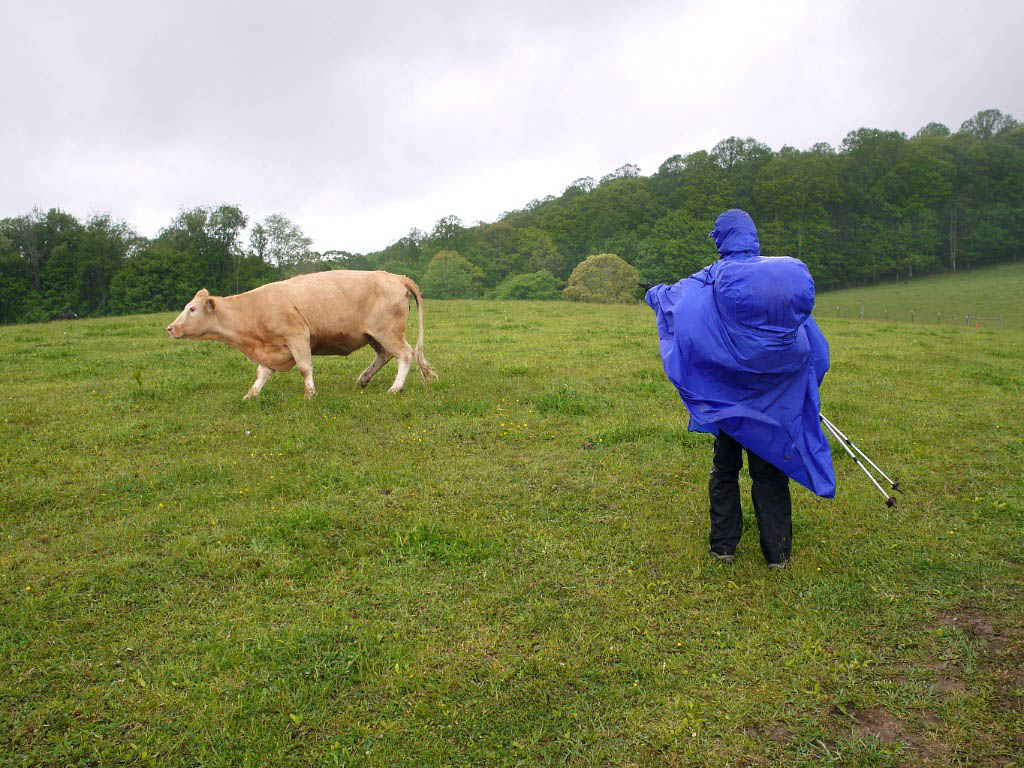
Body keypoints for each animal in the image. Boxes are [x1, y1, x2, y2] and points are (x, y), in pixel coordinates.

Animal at [164, 270, 436, 399]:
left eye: (192, 309)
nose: (171, 328)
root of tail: (396, 277)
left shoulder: (297, 336)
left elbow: (305, 367)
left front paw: (310, 394)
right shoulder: (271, 347)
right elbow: (262, 373)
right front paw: (251, 395)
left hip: (388, 331)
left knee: (405, 354)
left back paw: (395, 387)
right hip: (374, 335)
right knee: (384, 356)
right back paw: (363, 379)